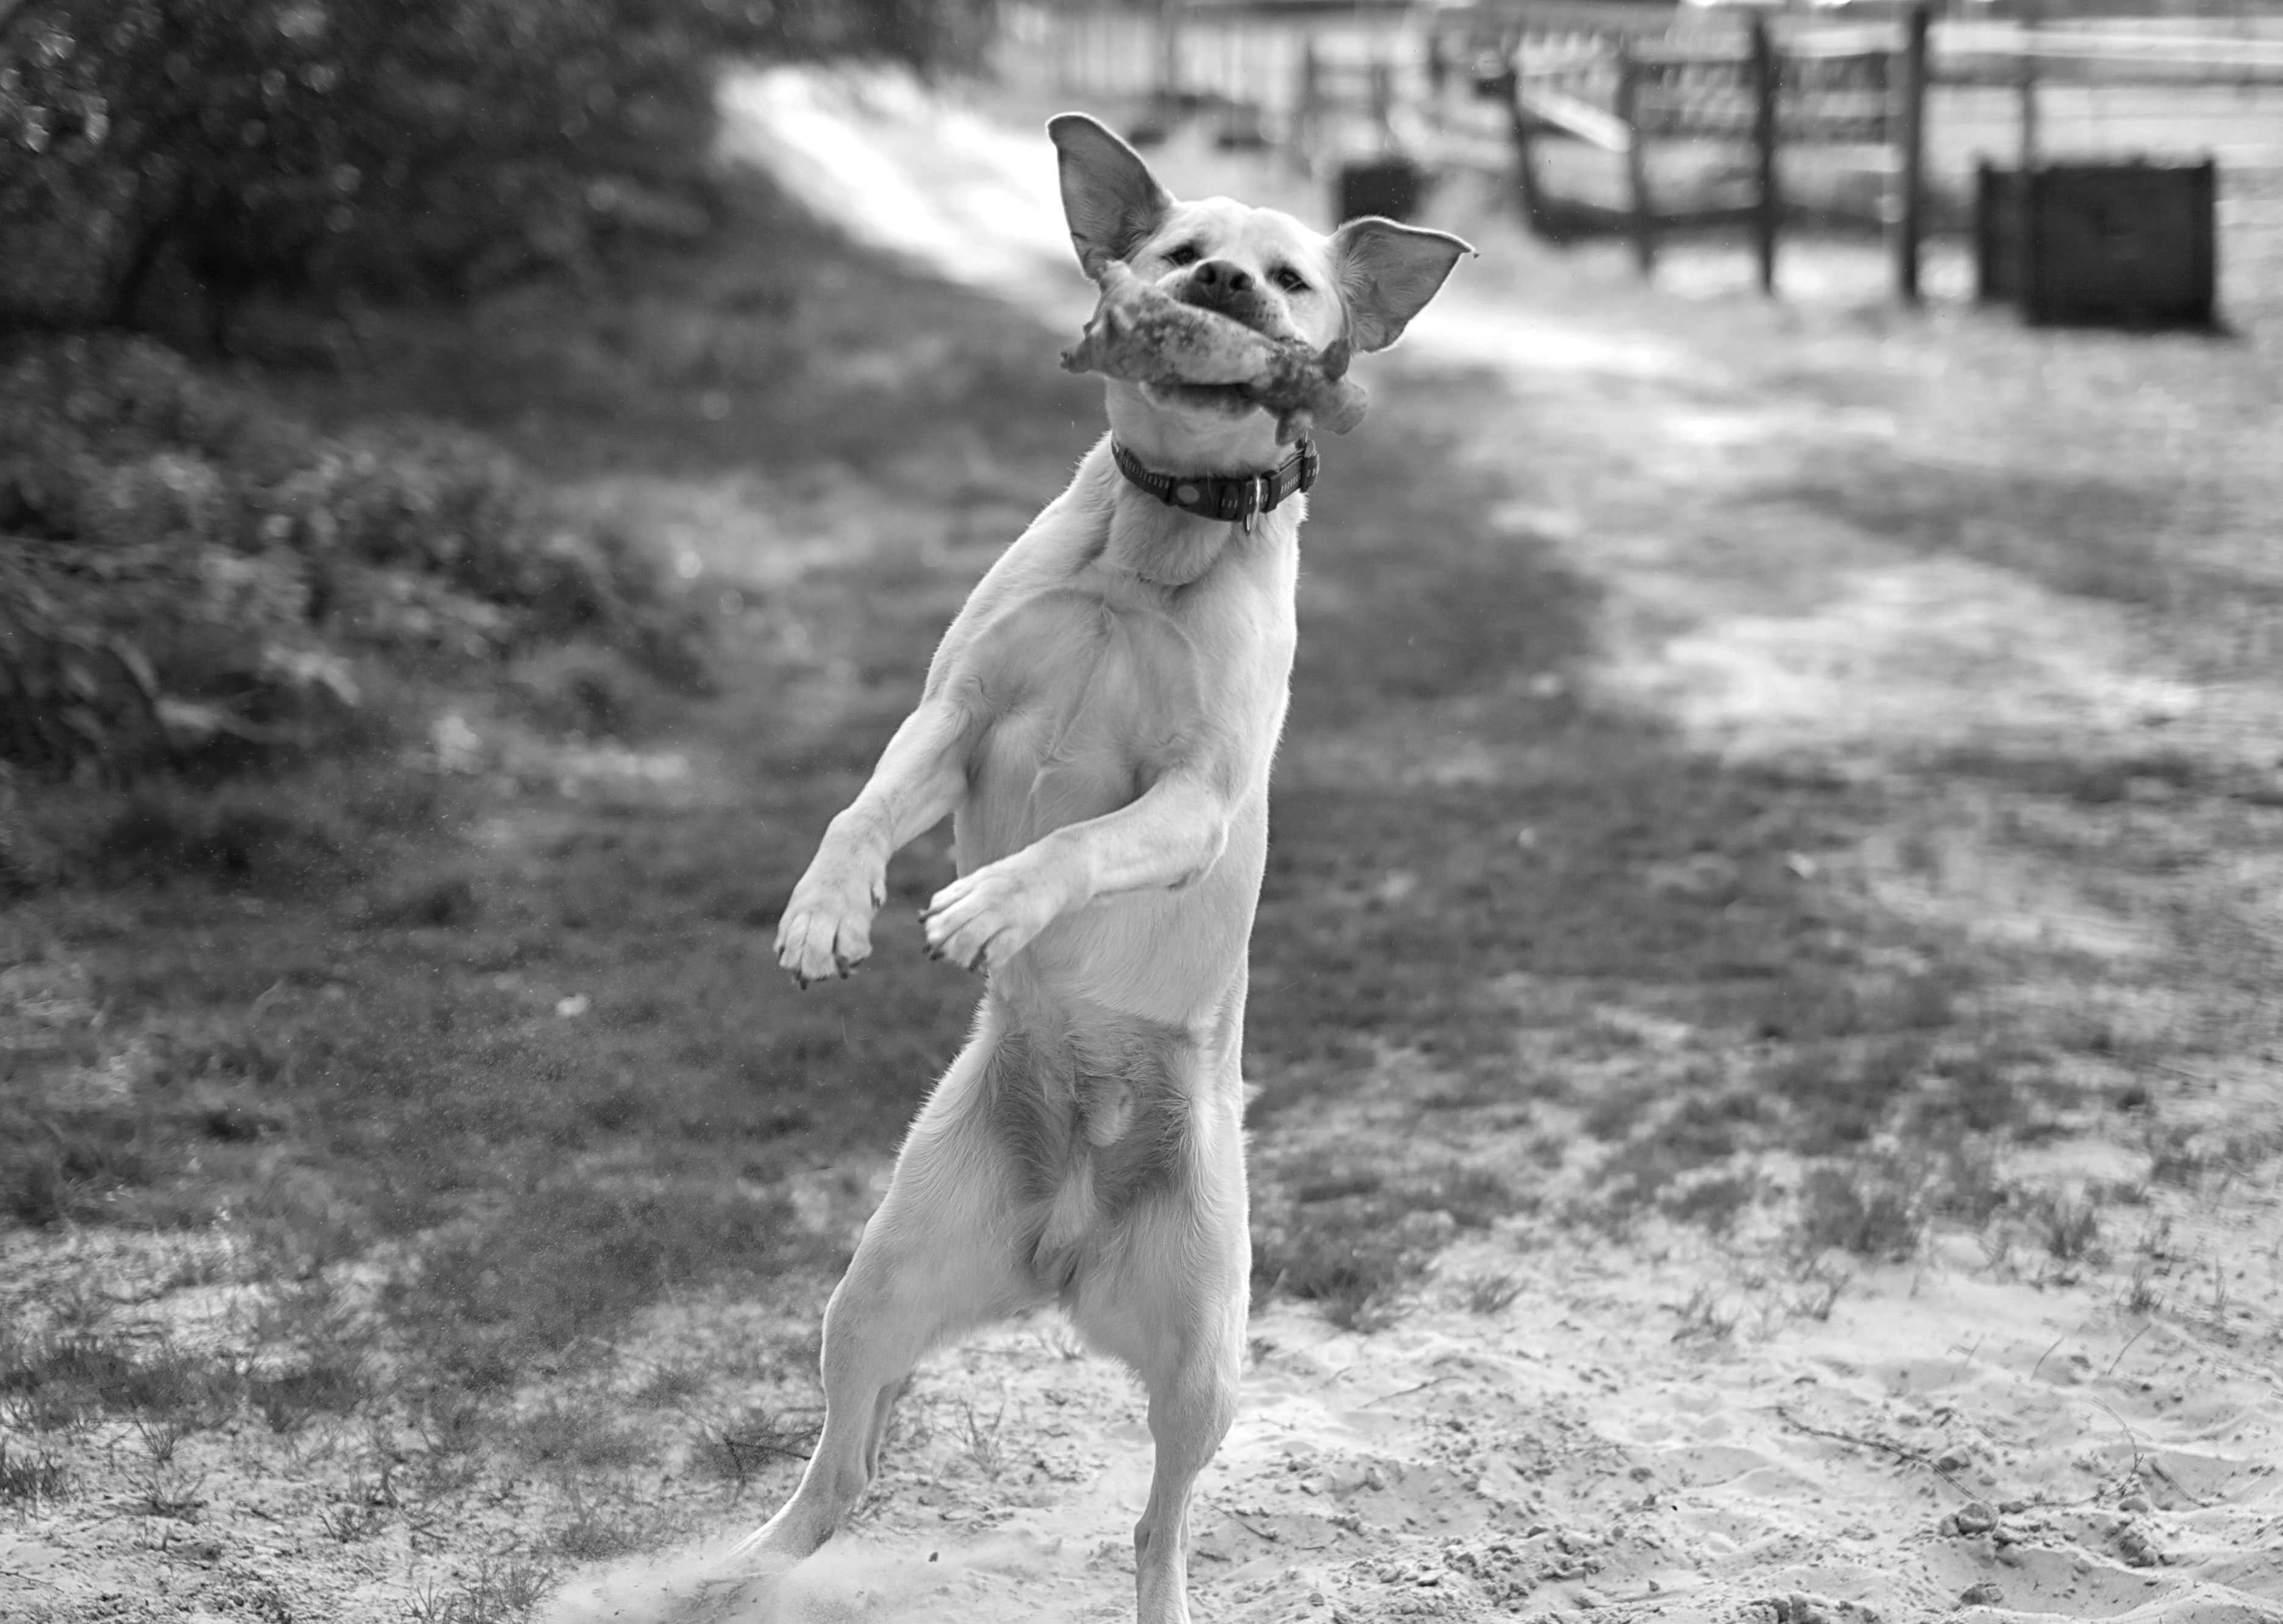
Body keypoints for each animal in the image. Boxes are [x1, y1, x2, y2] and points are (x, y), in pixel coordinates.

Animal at [749, 117, 1461, 1624]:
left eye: (1291, 279)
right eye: (1181, 251)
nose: (1226, 289)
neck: (1153, 548)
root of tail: (1063, 1247)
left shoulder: (1192, 798)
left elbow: (1077, 843)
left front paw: (992, 904)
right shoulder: (952, 713)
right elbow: (860, 809)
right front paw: (825, 915)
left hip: (1203, 1366)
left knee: (1156, 1528)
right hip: (876, 1288)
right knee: (844, 1472)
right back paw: (739, 1568)